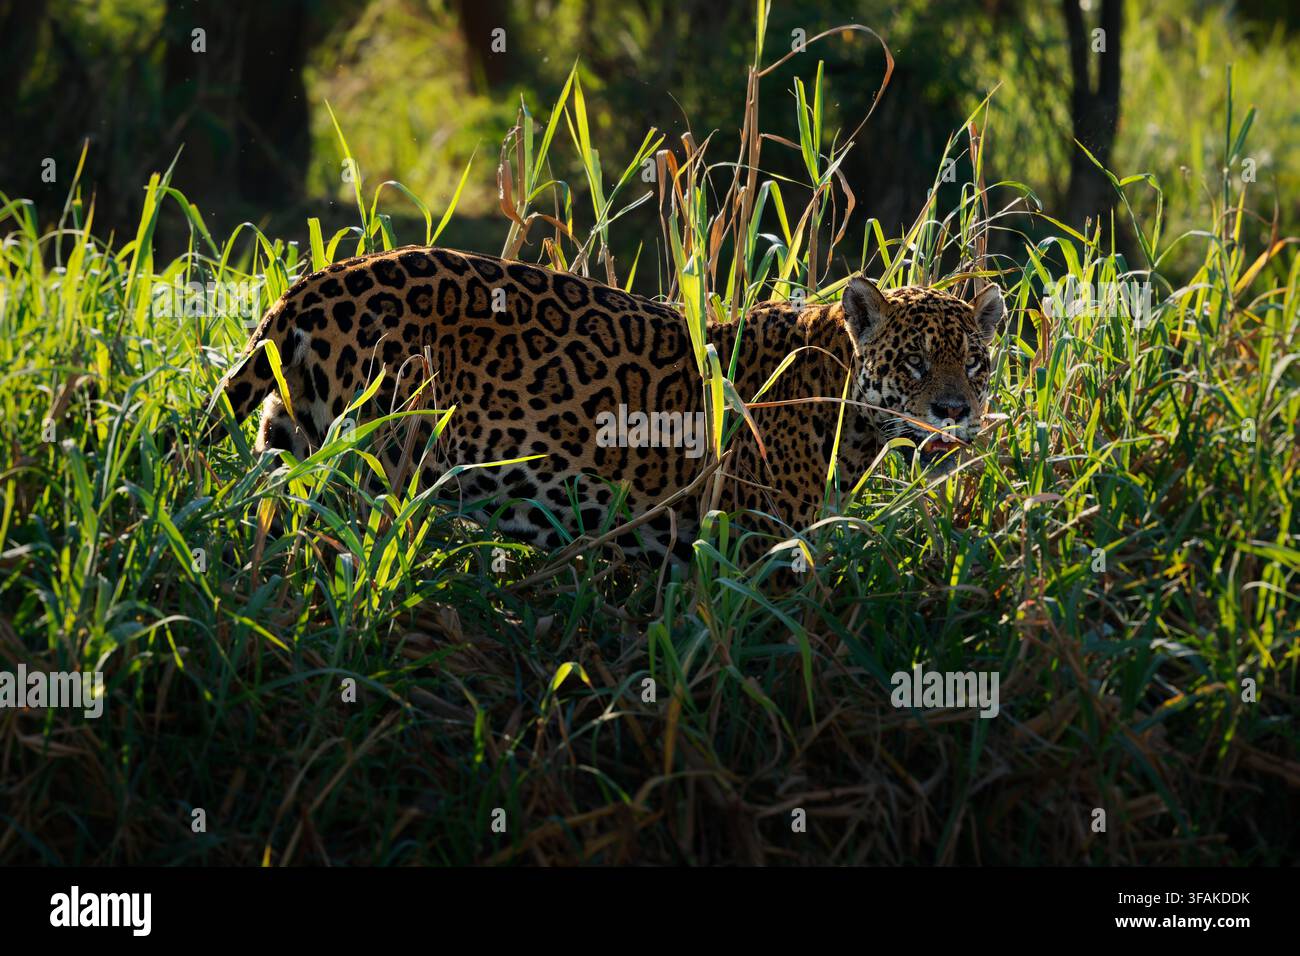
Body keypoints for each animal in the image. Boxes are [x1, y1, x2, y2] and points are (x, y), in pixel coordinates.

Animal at [205, 245, 1004, 564]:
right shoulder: (758, 543)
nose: (955, 412)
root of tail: (307, 287)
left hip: (294, 437)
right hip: (369, 463)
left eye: (975, 364)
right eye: (913, 364)